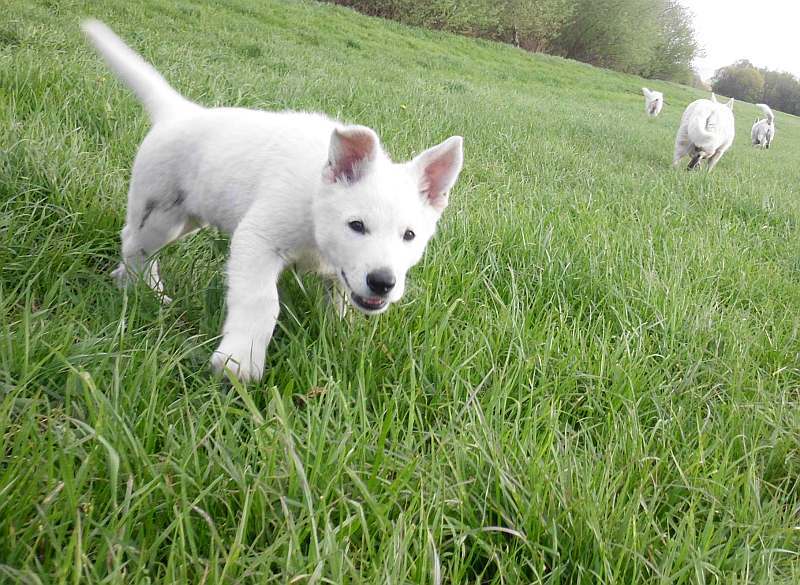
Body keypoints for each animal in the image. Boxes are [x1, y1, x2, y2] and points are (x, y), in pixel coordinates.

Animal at [82, 20, 466, 380]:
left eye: (410, 236)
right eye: (356, 226)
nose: (383, 283)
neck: (314, 206)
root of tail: (179, 113)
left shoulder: (341, 276)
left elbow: (339, 303)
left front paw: (339, 336)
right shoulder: (258, 241)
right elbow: (261, 301)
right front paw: (238, 361)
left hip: (187, 220)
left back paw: (133, 285)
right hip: (158, 213)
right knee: (135, 244)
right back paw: (140, 291)